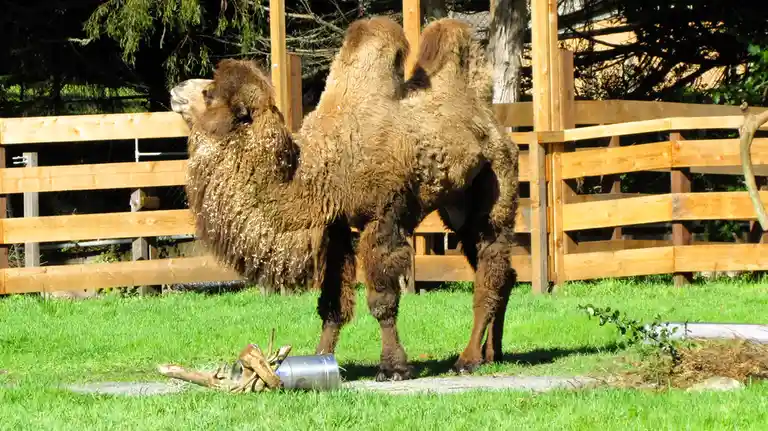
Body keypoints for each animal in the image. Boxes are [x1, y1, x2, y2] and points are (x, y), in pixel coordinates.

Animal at [169, 16, 519, 381]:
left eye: (209, 94)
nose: (176, 89)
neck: (320, 170)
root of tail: (494, 124)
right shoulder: (335, 227)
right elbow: (333, 305)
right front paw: (319, 358)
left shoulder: (382, 217)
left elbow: (382, 299)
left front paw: (394, 366)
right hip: (458, 208)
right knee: (503, 274)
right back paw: (493, 353)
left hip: (496, 188)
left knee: (489, 271)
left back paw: (468, 359)